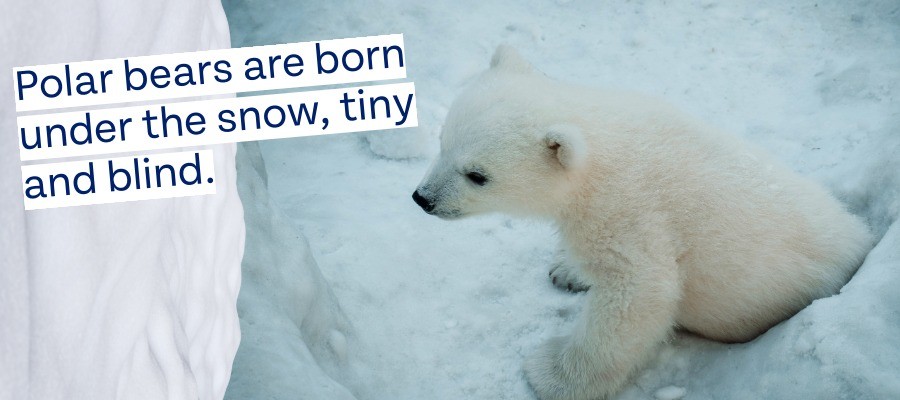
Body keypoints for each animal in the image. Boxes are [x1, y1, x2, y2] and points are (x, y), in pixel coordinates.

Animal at [411, 45, 874, 400]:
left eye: (477, 175)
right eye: (443, 141)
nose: (423, 199)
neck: (603, 150)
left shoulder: (630, 213)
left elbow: (639, 294)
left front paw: (547, 372)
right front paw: (566, 270)